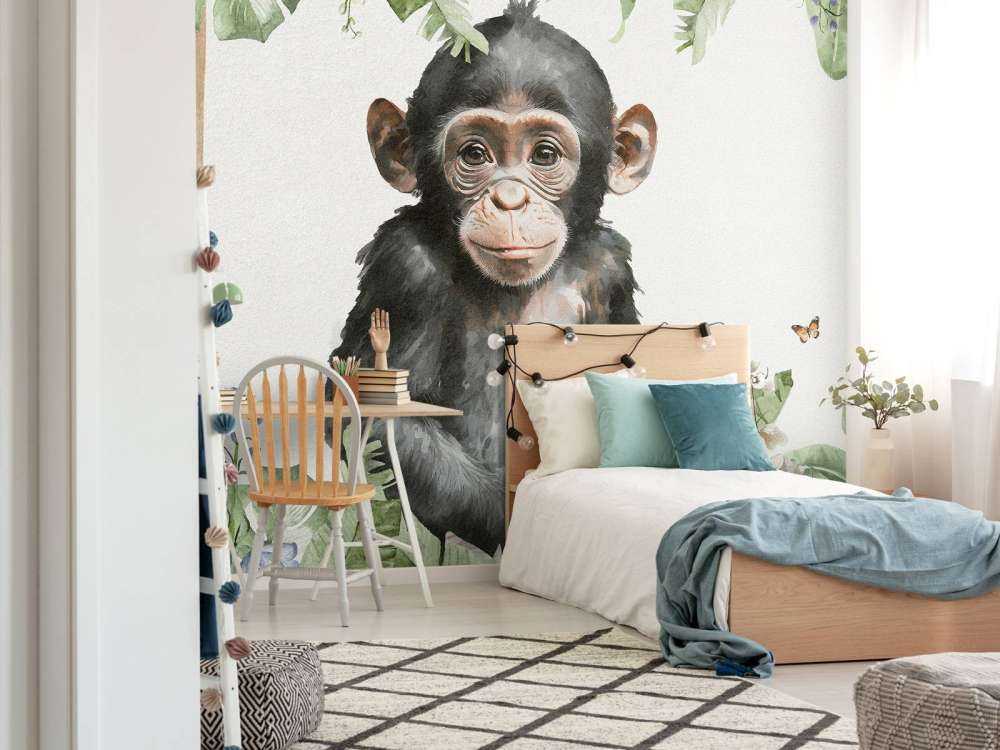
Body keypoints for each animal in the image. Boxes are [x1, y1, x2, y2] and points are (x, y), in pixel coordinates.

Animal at [331, 0, 657, 557]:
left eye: (544, 156)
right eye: (475, 155)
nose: (509, 199)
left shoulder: (611, 270)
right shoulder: (404, 268)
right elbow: (382, 421)